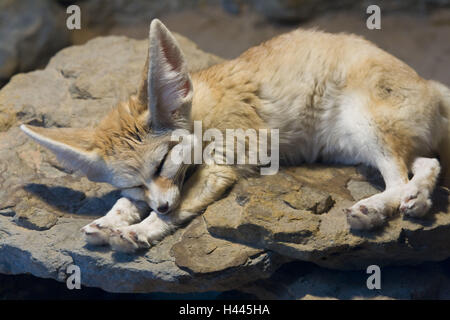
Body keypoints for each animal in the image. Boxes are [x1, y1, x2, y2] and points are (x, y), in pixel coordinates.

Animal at [21, 18, 450, 252]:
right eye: (137, 183)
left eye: (162, 163)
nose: (161, 206)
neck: (203, 111)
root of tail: (429, 84)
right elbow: (124, 203)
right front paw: (110, 221)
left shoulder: (219, 167)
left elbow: (178, 209)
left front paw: (140, 230)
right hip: (357, 145)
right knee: (427, 163)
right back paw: (418, 200)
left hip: (364, 127)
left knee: (400, 178)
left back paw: (374, 209)